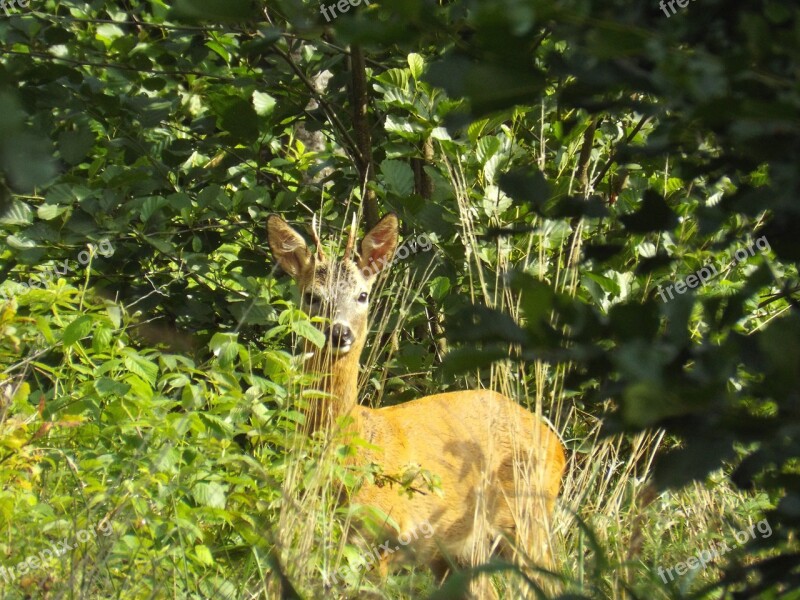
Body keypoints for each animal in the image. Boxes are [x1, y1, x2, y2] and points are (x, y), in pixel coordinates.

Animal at [266, 213, 564, 588]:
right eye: (311, 296)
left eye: (363, 295)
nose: (339, 332)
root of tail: (556, 443)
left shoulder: (385, 537)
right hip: (462, 550)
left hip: (529, 518)